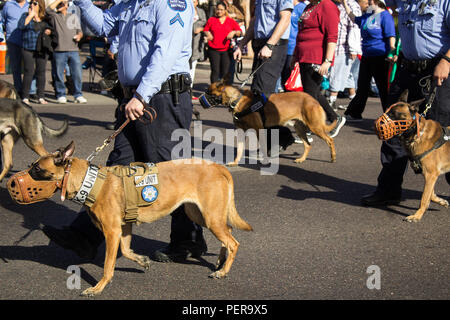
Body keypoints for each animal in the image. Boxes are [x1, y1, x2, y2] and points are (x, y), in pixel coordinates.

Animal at [21, 141, 253, 296]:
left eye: (37, 168)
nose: (15, 180)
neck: (92, 182)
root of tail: (217, 166)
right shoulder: (123, 229)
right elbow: (125, 250)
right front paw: (141, 260)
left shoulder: (112, 231)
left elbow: (108, 266)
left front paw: (98, 288)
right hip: (200, 214)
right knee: (228, 233)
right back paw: (220, 262)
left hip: (210, 217)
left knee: (234, 242)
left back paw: (223, 272)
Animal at [207, 82, 338, 165]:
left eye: (208, 92)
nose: (202, 99)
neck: (237, 100)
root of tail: (314, 100)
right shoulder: (241, 132)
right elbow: (239, 150)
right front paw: (235, 162)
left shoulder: (259, 131)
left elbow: (264, 147)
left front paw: (265, 160)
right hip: (299, 128)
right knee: (308, 145)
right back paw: (301, 159)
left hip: (315, 127)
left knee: (330, 140)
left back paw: (333, 157)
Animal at [384, 90, 450, 220]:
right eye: (387, 111)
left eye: (394, 114)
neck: (416, 133)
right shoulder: (430, 175)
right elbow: (431, 195)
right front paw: (441, 201)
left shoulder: (431, 174)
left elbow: (424, 198)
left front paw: (417, 216)